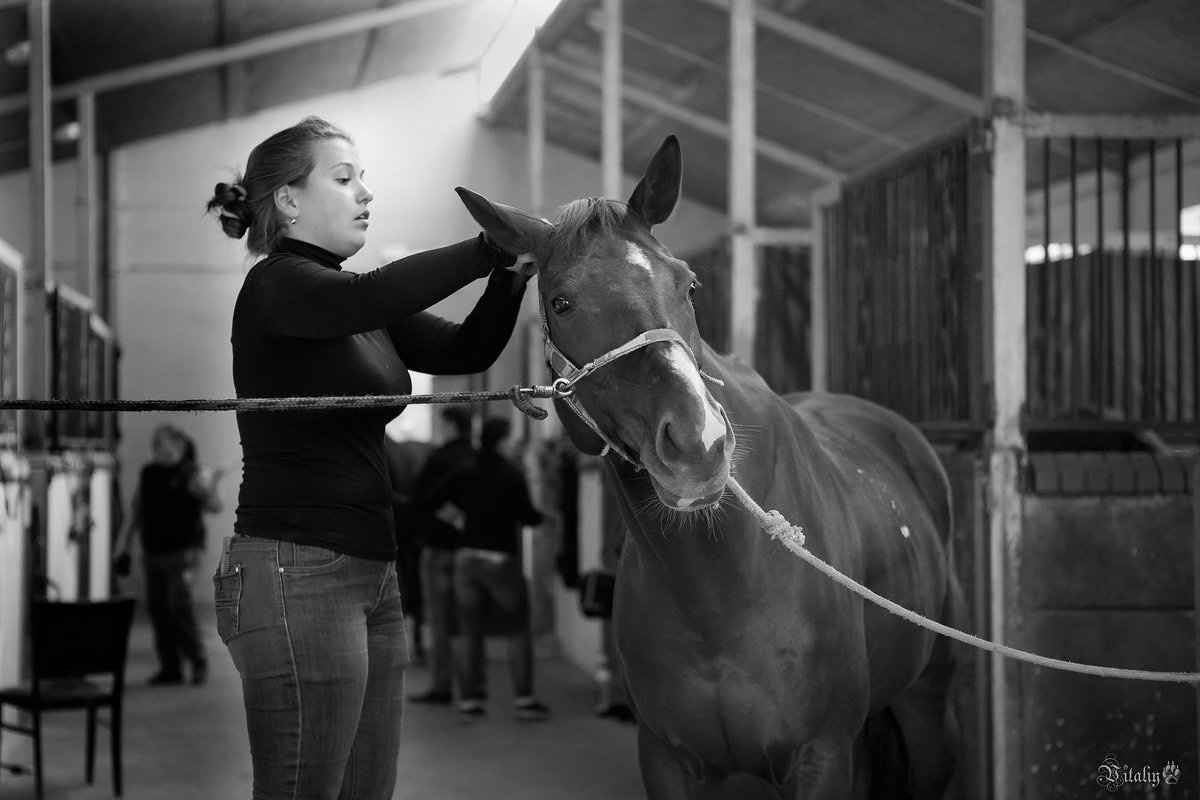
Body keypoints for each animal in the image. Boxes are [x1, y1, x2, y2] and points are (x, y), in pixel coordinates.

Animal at [453, 134, 960, 796]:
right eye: (561, 303)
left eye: (690, 285)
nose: (699, 445)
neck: (718, 588)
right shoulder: (666, 757)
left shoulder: (822, 754)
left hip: (928, 700)